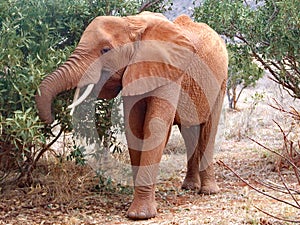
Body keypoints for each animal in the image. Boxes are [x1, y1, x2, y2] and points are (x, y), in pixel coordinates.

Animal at [35, 11, 227, 220]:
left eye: (105, 50)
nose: (49, 118)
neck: (132, 22)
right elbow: (133, 128)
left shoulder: (170, 71)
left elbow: (154, 126)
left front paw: (140, 215)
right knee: (189, 132)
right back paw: (189, 187)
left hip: (221, 80)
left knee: (209, 129)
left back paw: (208, 191)